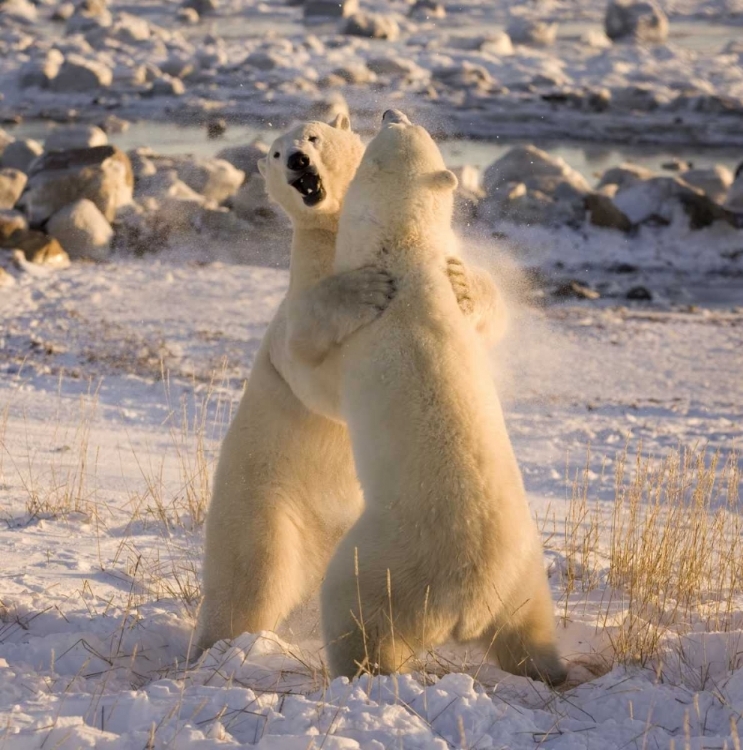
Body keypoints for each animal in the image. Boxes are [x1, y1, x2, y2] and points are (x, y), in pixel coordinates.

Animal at [195, 114, 502, 656]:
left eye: (313, 137)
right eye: (274, 154)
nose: (298, 160)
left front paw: (464, 285)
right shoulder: (300, 309)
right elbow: (308, 366)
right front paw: (366, 291)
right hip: (266, 497)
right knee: (254, 575)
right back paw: (217, 646)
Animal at [294, 111, 568, 688]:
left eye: (398, 127)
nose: (390, 111)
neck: (405, 249)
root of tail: (466, 604)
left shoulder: (362, 343)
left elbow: (322, 390)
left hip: (383, 563)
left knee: (353, 613)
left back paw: (355, 671)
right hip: (523, 572)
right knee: (529, 629)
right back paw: (551, 669)